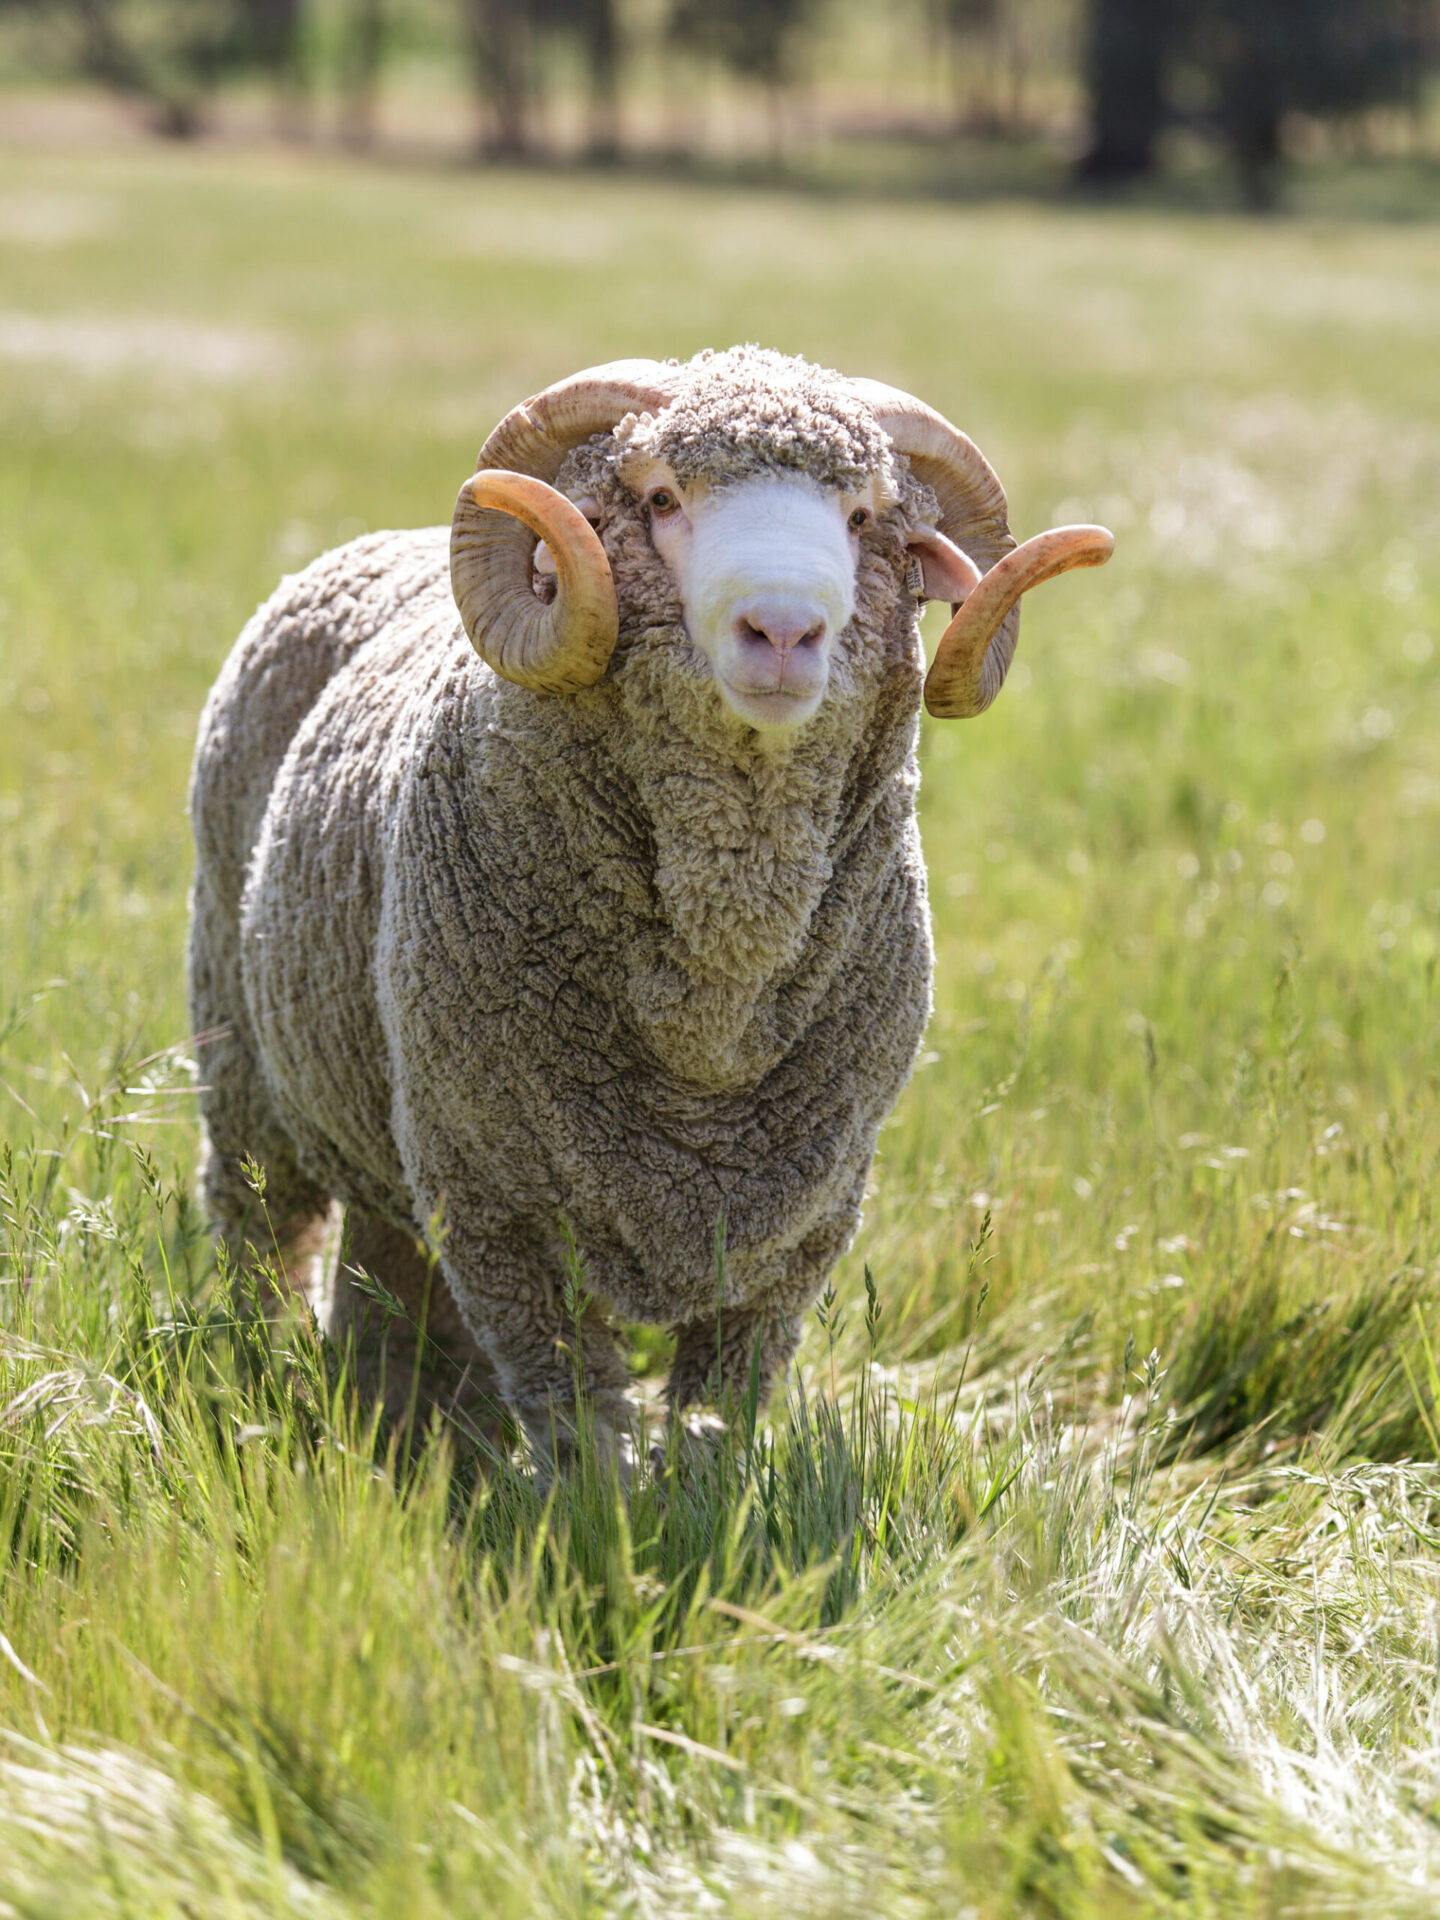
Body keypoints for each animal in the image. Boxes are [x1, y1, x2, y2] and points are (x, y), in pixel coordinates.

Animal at [189, 345, 1111, 1465]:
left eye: (865, 516)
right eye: (664, 498)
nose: (784, 629)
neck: (713, 1016)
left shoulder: (801, 1225)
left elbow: (724, 1408)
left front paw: (701, 1488)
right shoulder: (499, 1208)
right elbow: (573, 1412)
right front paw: (590, 1501)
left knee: (385, 1271)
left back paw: (398, 1412)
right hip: (241, 1062)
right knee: (260, 1229)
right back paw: (260, 1373)